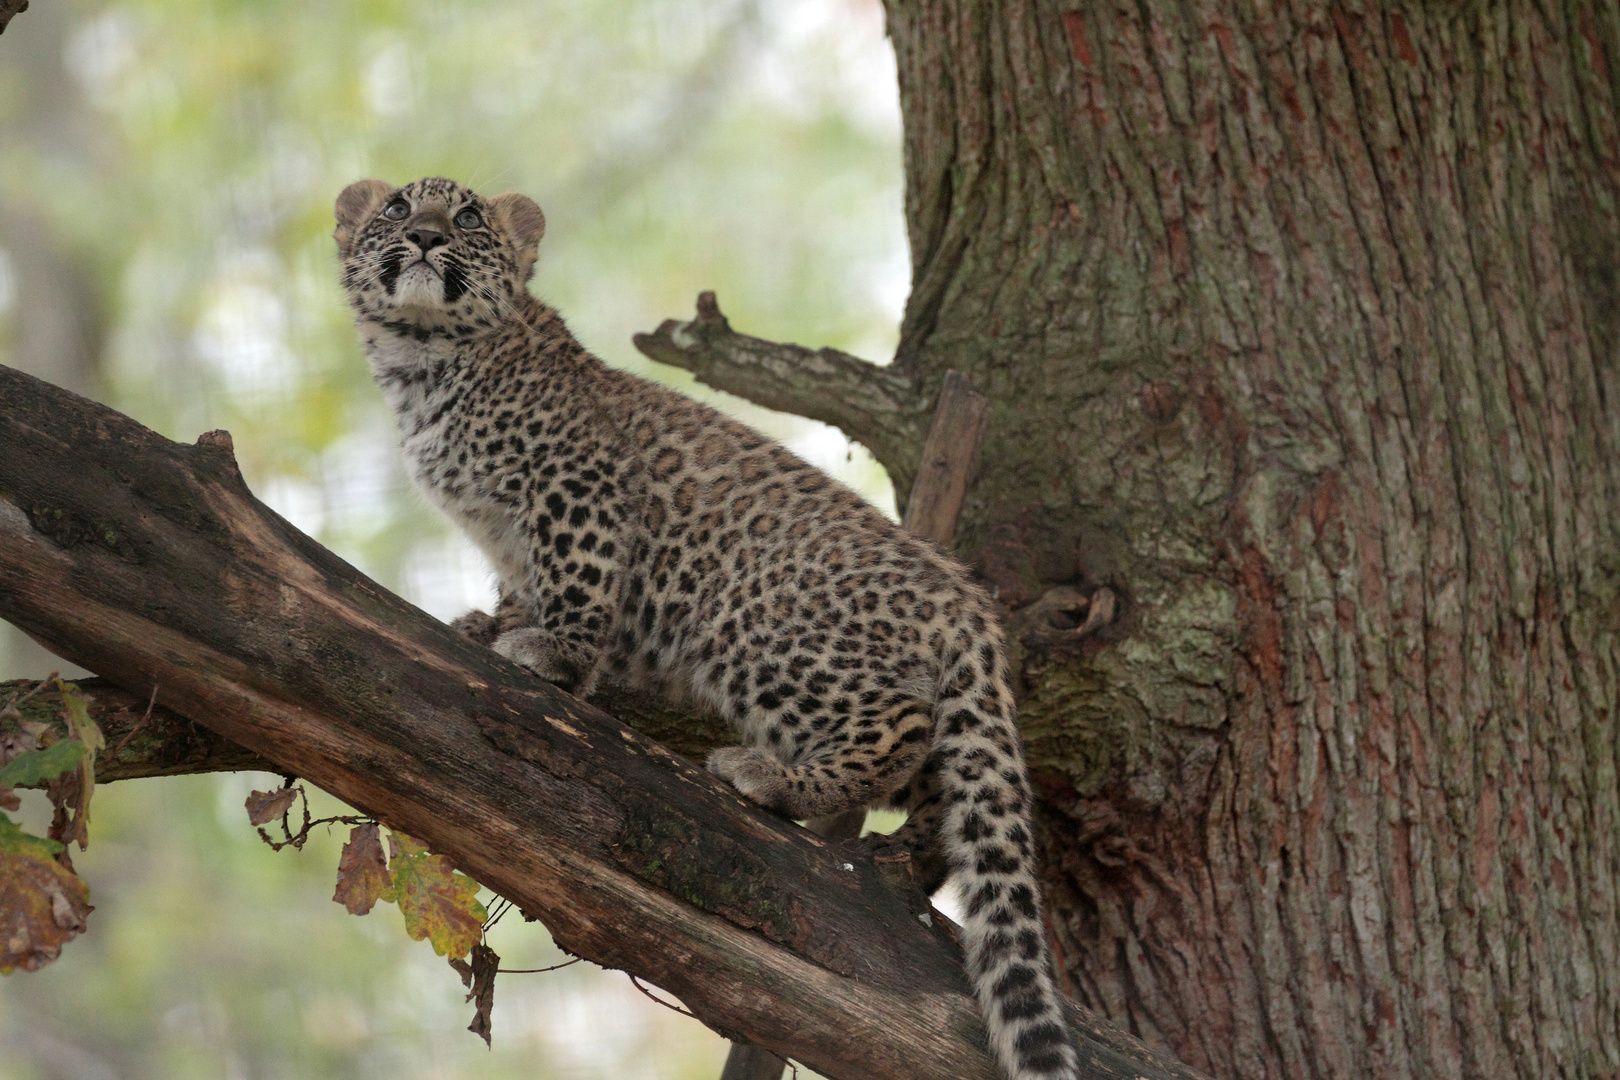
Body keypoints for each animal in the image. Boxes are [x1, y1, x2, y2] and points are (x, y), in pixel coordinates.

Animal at [335, 177, 1082, 1080]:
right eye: (395, 208)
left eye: (469, 217)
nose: (423, 235)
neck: (423, 365)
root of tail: (963, 594)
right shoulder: (505, 535)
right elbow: (520, 586)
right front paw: (491, 626)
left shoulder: (579, 486)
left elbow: (577, 579)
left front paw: (557, 652)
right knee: (948, 779)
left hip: (754, 624)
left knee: (900, 725)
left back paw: (774, 778)